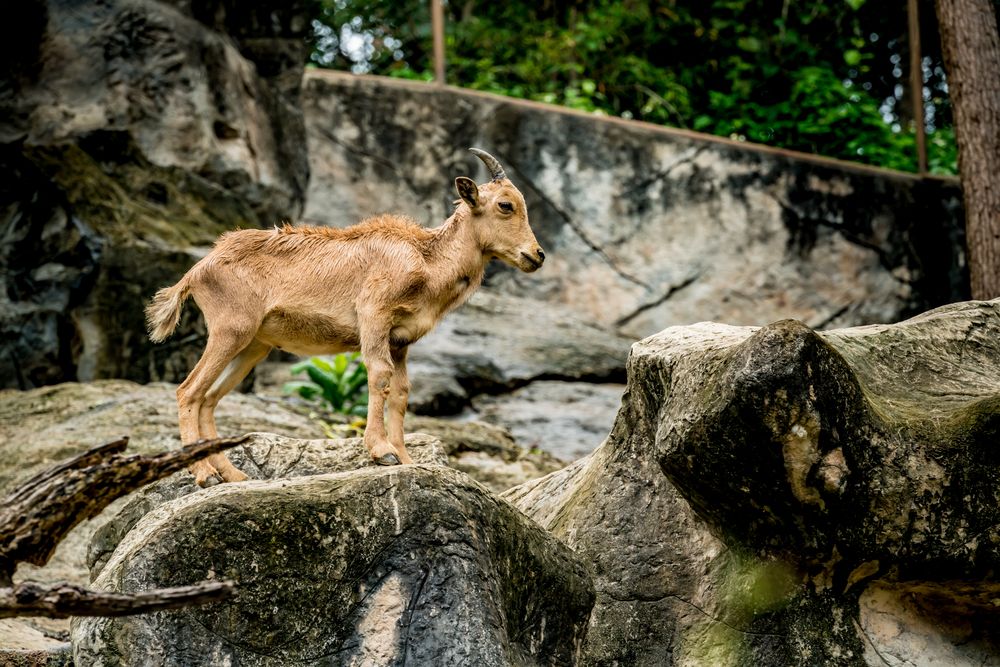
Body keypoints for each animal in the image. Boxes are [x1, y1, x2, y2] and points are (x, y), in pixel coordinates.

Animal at [146, 150, 548, 486]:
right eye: (506, 205)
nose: (537, 255)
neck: (427, 261)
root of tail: (198, 270)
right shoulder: (373, 316)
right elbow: (379, 376)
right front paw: (382, 452)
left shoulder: (400, 340)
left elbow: (401, 391)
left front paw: (405, 458)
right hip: (230, 331)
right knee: (188, 392)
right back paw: (204, 475)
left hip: (252, 347)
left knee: (208, 400)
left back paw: (232, 475)